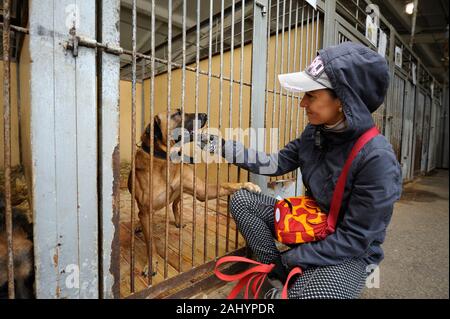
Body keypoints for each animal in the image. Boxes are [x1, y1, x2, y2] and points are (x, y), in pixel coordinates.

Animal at [126, 110, 260, 278]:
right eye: (177, 114)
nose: (204, 114)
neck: (166, 160)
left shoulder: (202, 191)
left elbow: (226, 184)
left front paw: (247, 185)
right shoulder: (146, 210)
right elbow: (150, 243)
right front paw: (151, 264)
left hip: (179, 193)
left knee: (175, 205)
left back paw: (178, 221)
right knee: (139, 213)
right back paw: (138, 224)